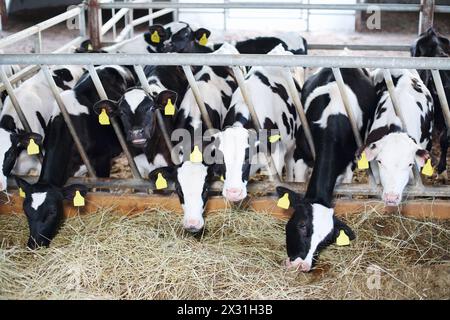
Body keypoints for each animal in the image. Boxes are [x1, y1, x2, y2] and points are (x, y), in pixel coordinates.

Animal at [213, 44, 304, 202]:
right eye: (222, 158)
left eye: (246, 157)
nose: (233, 192)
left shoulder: (277, 154)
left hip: (291, 142)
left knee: (289, 161)